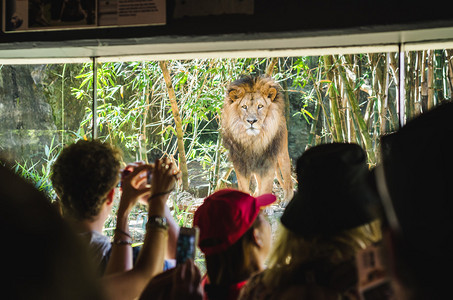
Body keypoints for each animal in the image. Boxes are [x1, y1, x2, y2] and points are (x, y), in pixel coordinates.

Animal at [222, 75, 294, 206]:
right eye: (244, 107)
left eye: (260, 106)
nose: (251, 121)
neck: (253, 140)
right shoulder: (241, 163)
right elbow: (244, 187)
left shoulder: (268, 160)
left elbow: (266, 186)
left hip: (282, 154)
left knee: (288, 179)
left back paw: (286, 200)